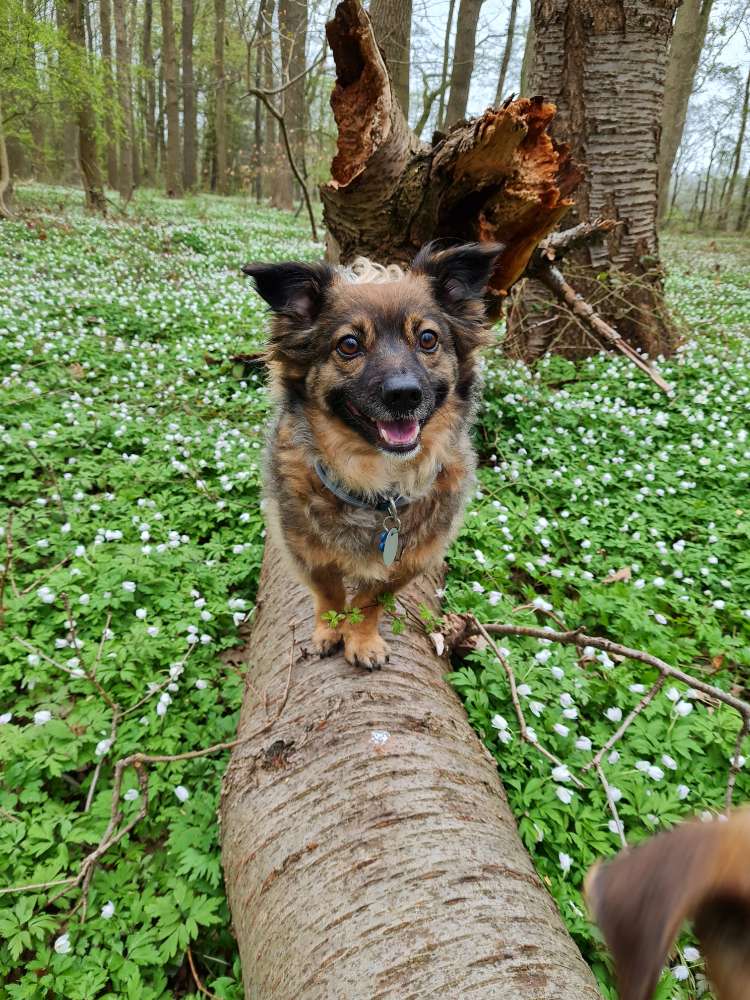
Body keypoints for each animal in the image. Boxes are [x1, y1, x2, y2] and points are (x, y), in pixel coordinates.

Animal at [245, 239, 506, 668]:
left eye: (428, 339)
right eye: (349, 345)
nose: (404, 395)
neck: (377, 481)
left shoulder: (410, 560)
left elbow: (371, 601)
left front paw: (362, 639)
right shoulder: (306, 551)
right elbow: (330, 593)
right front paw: (329, 631)